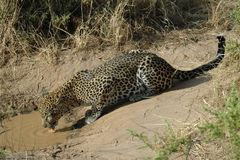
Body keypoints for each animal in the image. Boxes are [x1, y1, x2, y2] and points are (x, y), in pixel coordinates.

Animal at [38, 35, 226, 131]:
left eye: (47, 114)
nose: (45, 126)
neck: (70, 95)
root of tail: (169, 65)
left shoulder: (106, 82)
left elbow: (99, 104)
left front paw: (91, 116)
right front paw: (87, 113)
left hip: (146, 65)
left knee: (159, 88)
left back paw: (137, 95)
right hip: (136, 51)